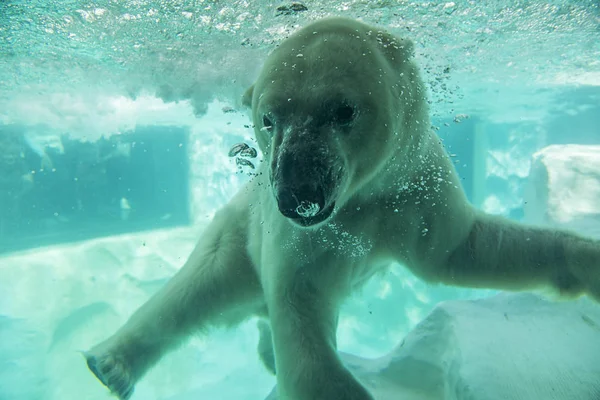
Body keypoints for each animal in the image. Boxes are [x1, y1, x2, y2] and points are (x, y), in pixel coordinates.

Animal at [85, 17, 600, 398]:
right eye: (268, 118)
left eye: (344, 110)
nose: (297, 195)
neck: (360, 201)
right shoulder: (294, 234)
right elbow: (299, 304)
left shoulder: (411, 186)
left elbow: (460, 250)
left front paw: (588, 262)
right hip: (240, 228)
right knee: (199, 287)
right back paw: (110, 364)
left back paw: (262, 353)